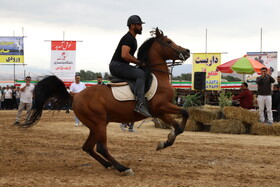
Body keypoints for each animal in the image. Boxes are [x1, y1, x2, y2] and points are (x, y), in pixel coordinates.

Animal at [24, 27, 190, 175]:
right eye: (169, 41)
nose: (187, 51)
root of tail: (76, 95)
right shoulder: (161, 106)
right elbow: (185, 113)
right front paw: (166, 141)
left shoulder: (160, 112)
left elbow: (179, 126)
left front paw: (165, 142)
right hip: (98, 123)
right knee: (101, 147)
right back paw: (123, 168)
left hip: (96, 125)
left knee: (88, 147)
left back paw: (109, 164)